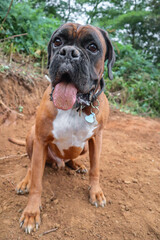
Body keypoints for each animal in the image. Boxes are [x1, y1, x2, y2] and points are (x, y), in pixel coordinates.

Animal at [16, 22, 115, 232]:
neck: (74, 108)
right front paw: (31, 213)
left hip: (84, 146)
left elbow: (95, 168)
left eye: (92, 47)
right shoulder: (41, 139)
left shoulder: (97, 138)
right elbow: (37, 182)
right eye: (57, 41)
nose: (68, 52)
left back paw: (76, 165)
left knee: (71, 159)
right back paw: (26, 180)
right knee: (32, 166)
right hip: (32, 136)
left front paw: (95, 192)